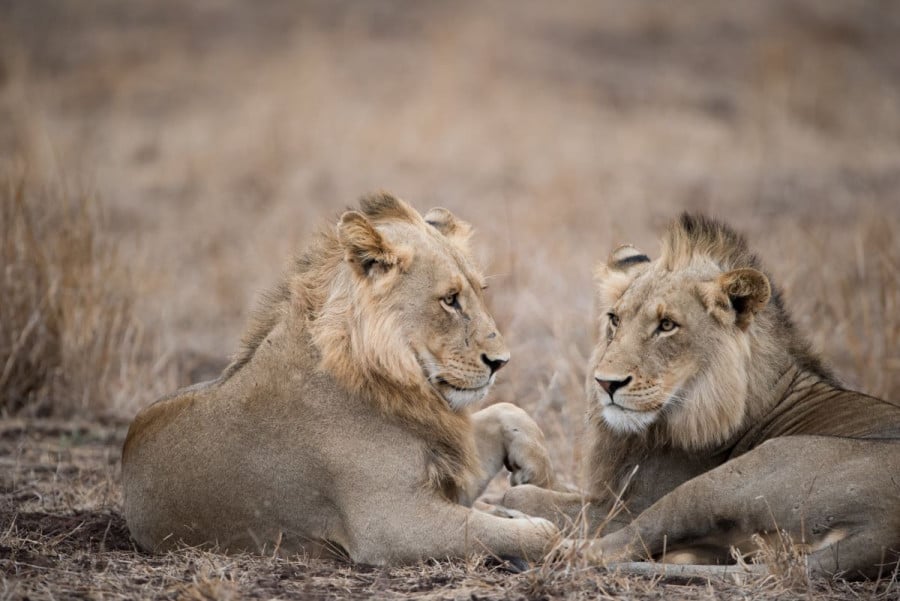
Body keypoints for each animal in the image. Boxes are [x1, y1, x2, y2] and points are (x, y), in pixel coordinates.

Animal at [119, 195, 556, 564]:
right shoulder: (391, 522)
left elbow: (507, 410)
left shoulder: (446, 470)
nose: (501, 362)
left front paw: (534, 474)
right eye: (450, 300)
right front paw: (534, 523)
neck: (398, 380)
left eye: (481, 291)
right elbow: (533, 534)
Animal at [502, 212, 900, 576]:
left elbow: (526, 495)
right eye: (615, 319)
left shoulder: (624, 506)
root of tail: (884, 531)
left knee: (620, 541)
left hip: (719, 483)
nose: (605, 383)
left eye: (666, 325)